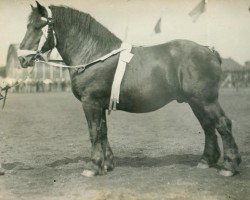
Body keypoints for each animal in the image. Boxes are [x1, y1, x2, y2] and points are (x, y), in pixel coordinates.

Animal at [17, 1, 240, 177]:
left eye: (38, 26)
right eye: (27, 25)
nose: (22, 58)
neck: (93, 53)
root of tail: (208, 50)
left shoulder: (90, 103)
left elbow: (93, 132)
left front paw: (93, 167)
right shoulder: (100, 104)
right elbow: (103, 132)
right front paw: (107, 164)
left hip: (206, 100)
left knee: (222, 124)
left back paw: (229, 166)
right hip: (195, 101)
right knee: (208, 126)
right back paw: (206, 161)